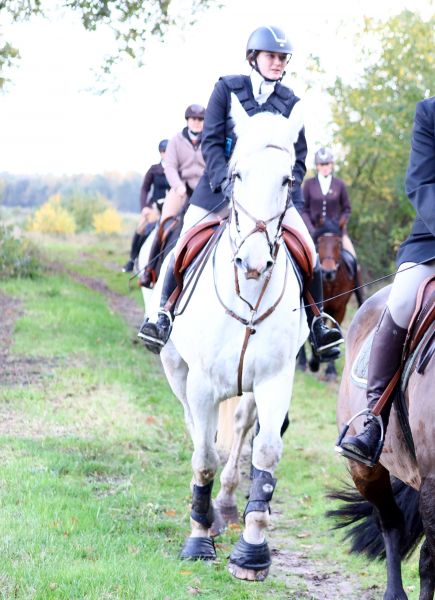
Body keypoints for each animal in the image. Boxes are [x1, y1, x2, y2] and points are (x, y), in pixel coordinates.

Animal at [146, 96, 308, 580]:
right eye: (236, 175)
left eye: (288, 178)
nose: (252, 263)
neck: (249, 295)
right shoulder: (201, 383)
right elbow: (203, 456)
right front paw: (199, 538)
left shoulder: (275, 381)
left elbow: (266, 454)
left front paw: (252, 550)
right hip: (176, 369)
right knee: (197, 430)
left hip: (249, 388)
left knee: (238, 430)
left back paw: (230, 504)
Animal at [298, 219, 363, 380]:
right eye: (319, 242)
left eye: (338, 243)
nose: (328, 272)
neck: (330, 284)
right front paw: (311, 362)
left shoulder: (339, 309)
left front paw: (330, 370)